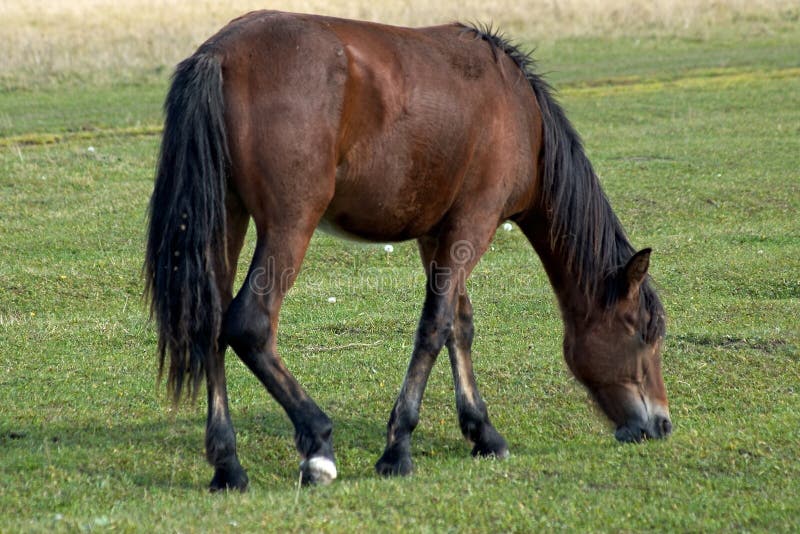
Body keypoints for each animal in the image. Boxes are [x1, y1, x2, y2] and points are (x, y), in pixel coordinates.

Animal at [147, 9, 672, 494]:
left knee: (210, 325)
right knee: (249, 326)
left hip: (226, 220)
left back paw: (228, 466)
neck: (523, 117)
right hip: (289, 225)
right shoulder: (473, 224)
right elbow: (434, 327)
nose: (661, 424)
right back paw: (317, 445)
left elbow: (460, 325)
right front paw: (398, 448)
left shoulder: (437, 234)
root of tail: (219, 53)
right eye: (645, 332)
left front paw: (483, 432)